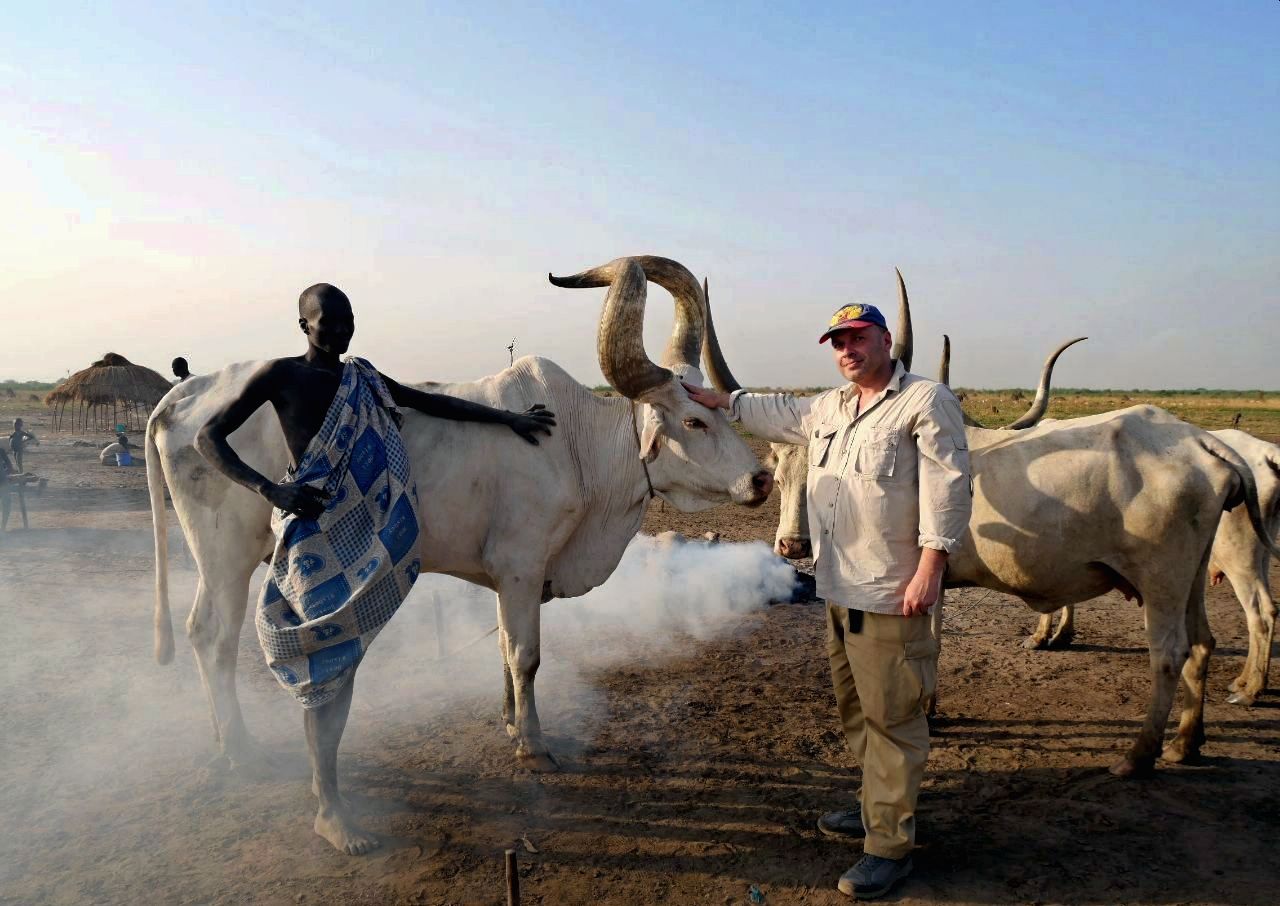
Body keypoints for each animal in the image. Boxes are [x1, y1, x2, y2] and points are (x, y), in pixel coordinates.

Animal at [149, 254, 768, 772]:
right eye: (693, 421)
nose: (760, 479)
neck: (577, 445)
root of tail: (184, 396)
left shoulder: (504, 575)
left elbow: (502, 649)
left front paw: (510, 723)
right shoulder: (522, 566)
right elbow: (525, 655)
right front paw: (534, 745)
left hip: (217, 563)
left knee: (199, 630)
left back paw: (222, 738)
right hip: (227, 559)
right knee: (215, 639)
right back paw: (240, 748)